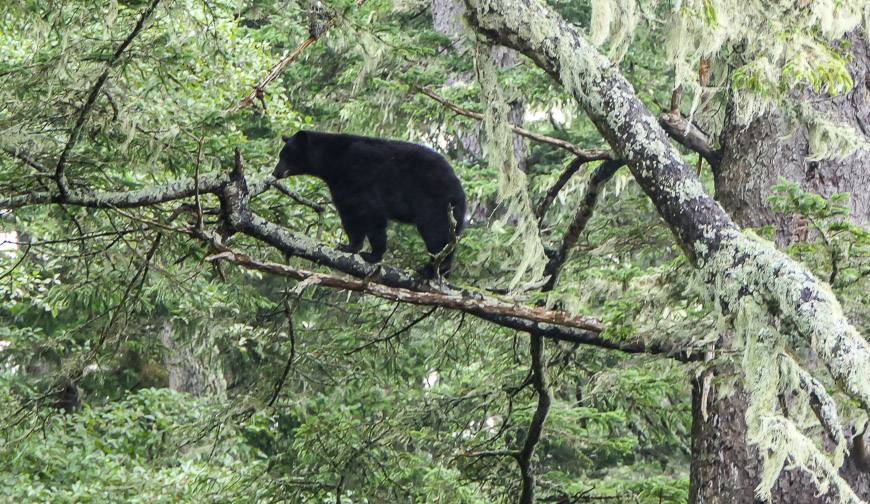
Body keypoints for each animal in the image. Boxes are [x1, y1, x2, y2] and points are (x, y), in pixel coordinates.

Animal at [274, 132, 466, 278]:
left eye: (285, 155)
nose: (275, 172)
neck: (334, 160)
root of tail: (459, 189)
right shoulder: (341, 186)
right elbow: (350, 215)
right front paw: (349, 246)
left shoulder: (359, 174)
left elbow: (370, 212)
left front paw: (372, 254)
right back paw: (443, 269)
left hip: (435, 200)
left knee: (436, 231)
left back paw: (432, 269)